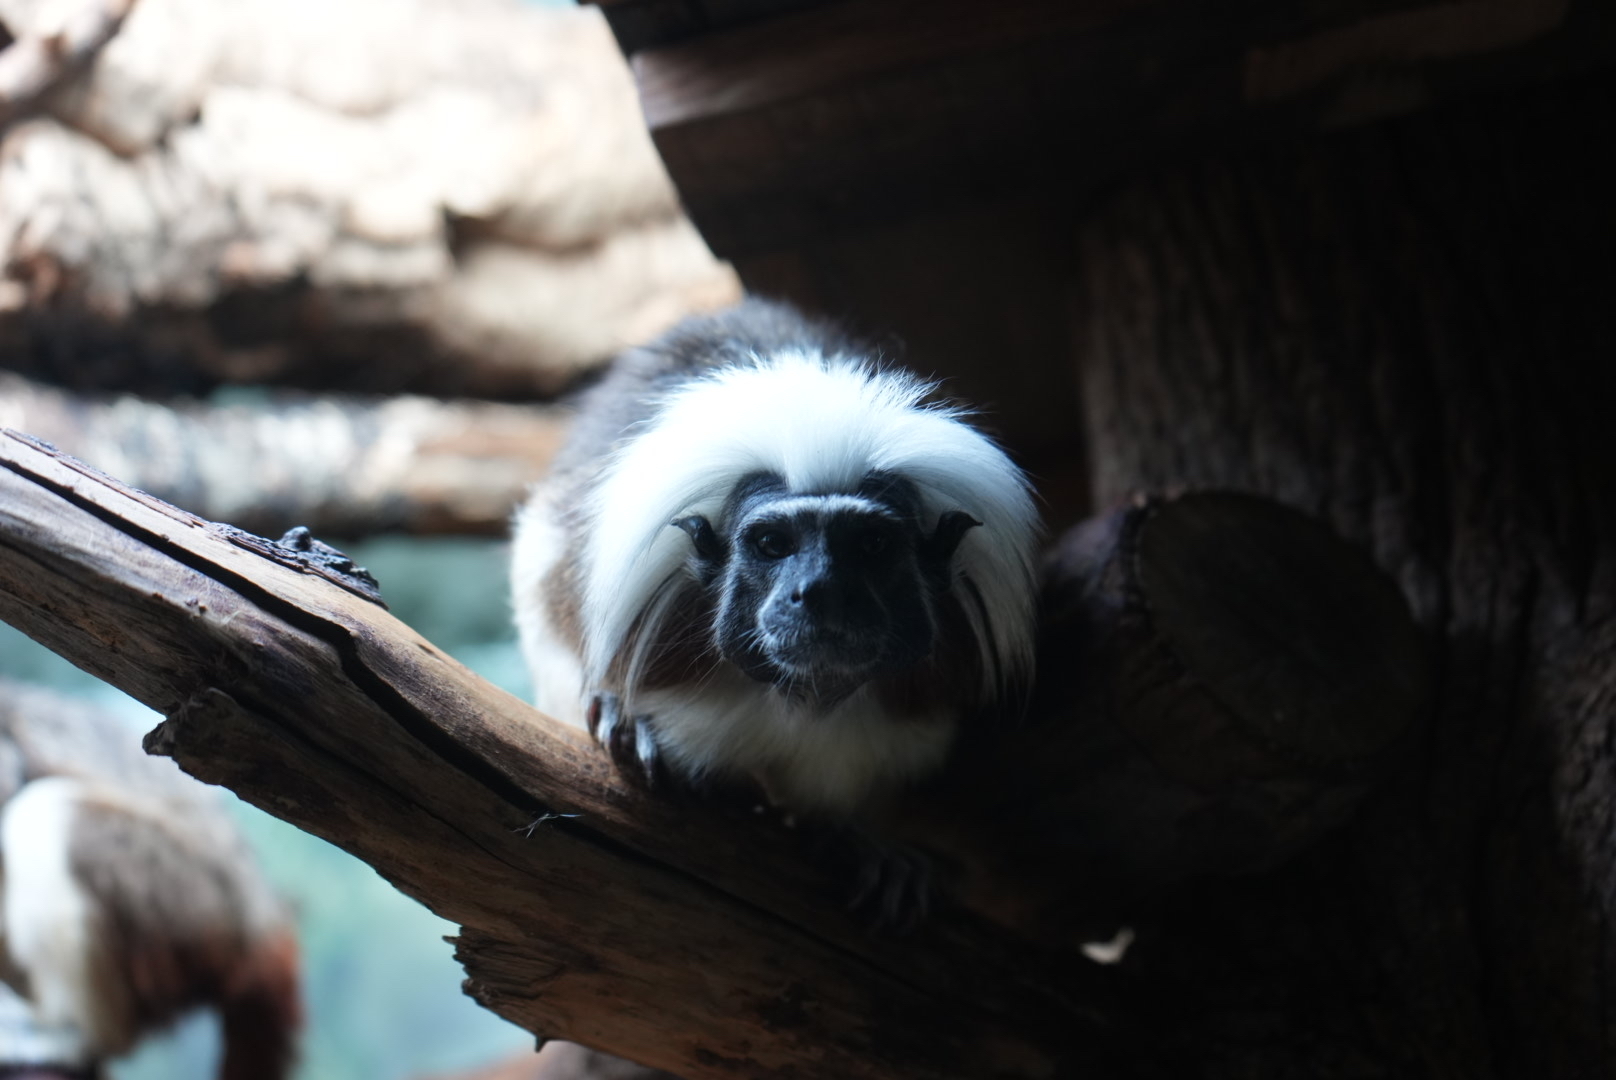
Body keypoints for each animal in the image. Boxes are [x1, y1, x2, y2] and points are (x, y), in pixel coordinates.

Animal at [510, 295, 1040, 905]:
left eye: (871, 545)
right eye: (771, 544)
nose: (819, 593)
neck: (801, 700)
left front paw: (859, 841)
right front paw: (626, 719)